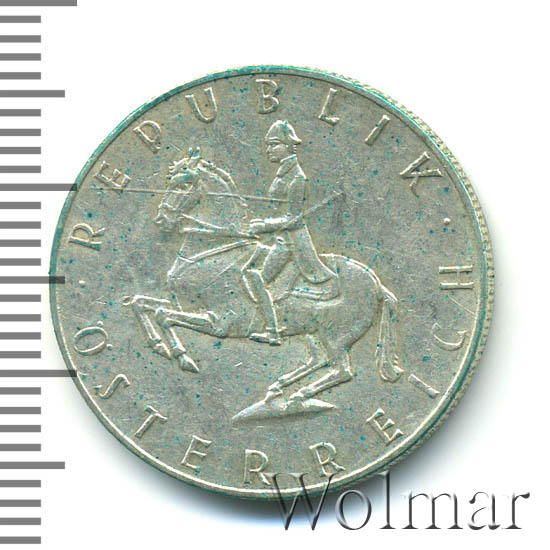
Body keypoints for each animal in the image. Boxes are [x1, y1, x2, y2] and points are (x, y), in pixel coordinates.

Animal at [122, 147, 403, 413]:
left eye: (183, 185)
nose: (162, 220)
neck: (215, 251)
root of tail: (377, 285)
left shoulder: (221, 323)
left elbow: (163, 315)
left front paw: (183, 358)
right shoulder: (186, 306)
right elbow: (141, 303)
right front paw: (158, 345)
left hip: (335, 335)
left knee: (341, 370)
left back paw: (298, 395)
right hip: (310, 330)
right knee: (317, 360)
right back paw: (279, 388)